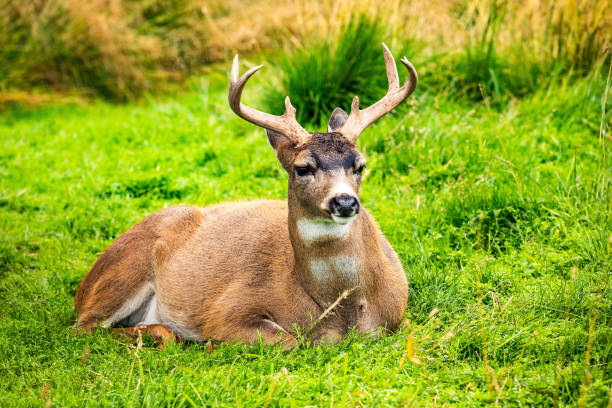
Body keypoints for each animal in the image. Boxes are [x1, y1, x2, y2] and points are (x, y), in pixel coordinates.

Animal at [71, 43, 416, 346]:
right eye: (302, 168)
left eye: (360, 165)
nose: (344, 201)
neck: (342, 310)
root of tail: (82, 288)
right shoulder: (227, 309)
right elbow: (289, 341)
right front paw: (209, 343)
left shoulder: (399, 315)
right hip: (125, 270)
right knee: (84, 327)